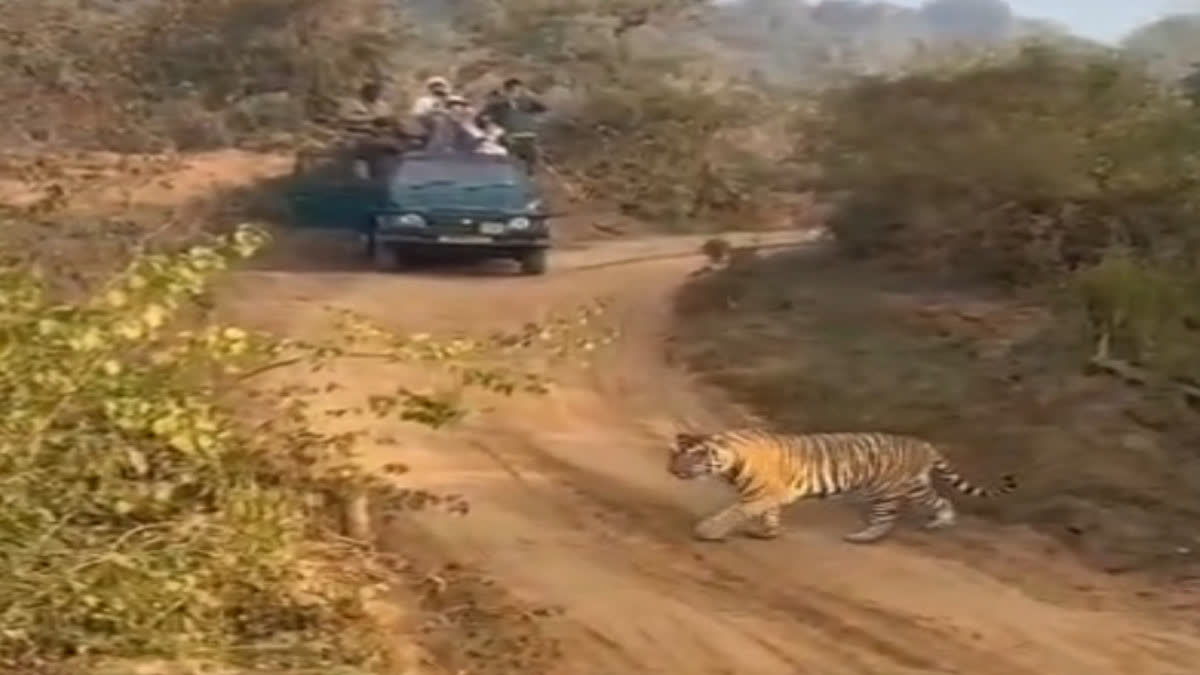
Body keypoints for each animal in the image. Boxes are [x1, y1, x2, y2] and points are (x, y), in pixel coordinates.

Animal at [667, 429, 1017, 544]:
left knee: (889, 519)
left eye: (692, 459)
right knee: (938, 501)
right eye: (674, 455)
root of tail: (924, 444)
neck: (729, 461)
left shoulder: (761, 494)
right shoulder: (771, 495)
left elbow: (733, 512)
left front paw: (707, 532)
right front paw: (768, 532)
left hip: (889, 491)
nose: (672, 471)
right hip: (908, 486)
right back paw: (940, 522)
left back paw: (861, 537)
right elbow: (770, 514)